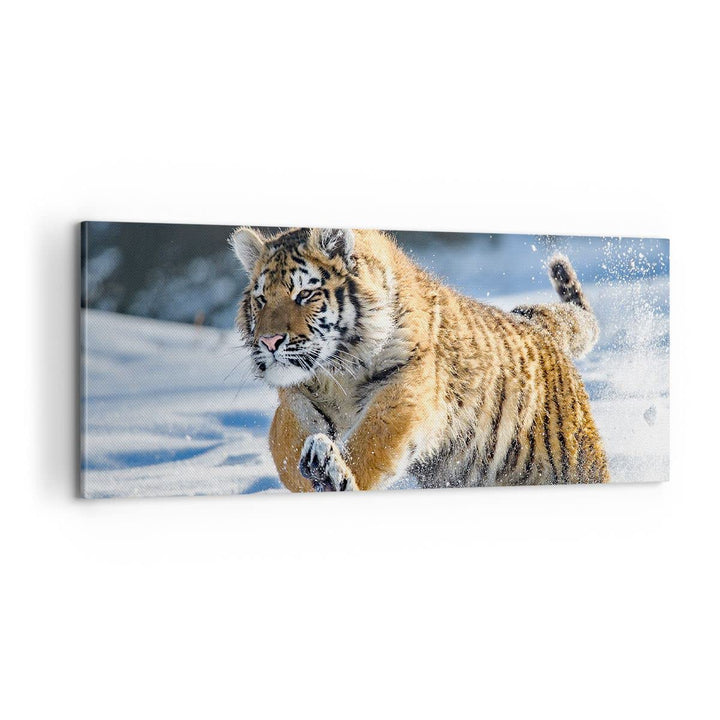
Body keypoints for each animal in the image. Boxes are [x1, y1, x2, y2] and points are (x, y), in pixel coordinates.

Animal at [230, 226, 609, 492]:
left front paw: (336, 475)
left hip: (579, 465)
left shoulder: (406, 388)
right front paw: (314, 473)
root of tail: (537, 324)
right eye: (261, 300)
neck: (338, 370)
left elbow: (371, 443)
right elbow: (286, 450)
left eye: (305, 294)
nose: (269, 341)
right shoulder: (294, 398)